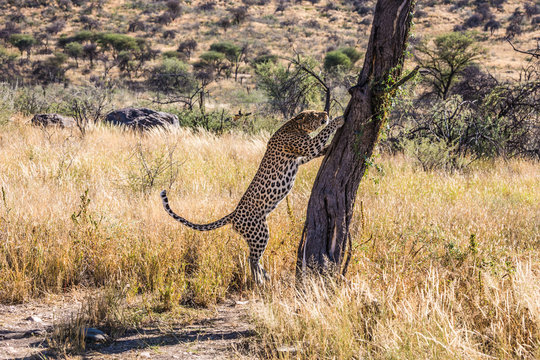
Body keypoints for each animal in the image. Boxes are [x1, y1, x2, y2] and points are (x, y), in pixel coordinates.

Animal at [161, 109, 346, 284]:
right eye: (314, 114)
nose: (326, 113)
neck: (295, 126)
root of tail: (234, 214)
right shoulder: (306, 146)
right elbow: (322, 134)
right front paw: (339, 120)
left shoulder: (302, 156)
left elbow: (316, 149)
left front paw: (328, 146)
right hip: (259, 232)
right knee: (252, 258)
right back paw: (260, 280)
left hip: (254, 234)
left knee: (252, 257)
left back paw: (264, 276)